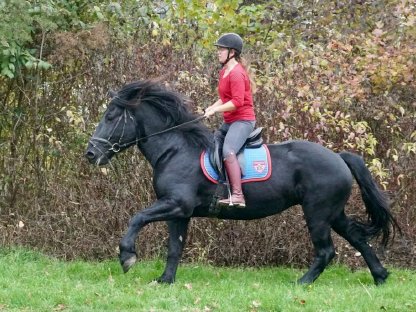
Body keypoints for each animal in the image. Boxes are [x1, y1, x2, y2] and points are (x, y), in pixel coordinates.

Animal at [85, 80, 400, 286]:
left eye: (110, 117)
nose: (91, 154)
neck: (175, 150)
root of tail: (338, 156)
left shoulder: (175, 204)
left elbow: (137, 218)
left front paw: (127, 257)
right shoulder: (179, 212)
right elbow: (175, 247)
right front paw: (165, 280)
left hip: (318, 213)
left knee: (326, 251)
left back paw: (301, 282)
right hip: (333, 213)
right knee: (357, 238)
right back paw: (380, 277)